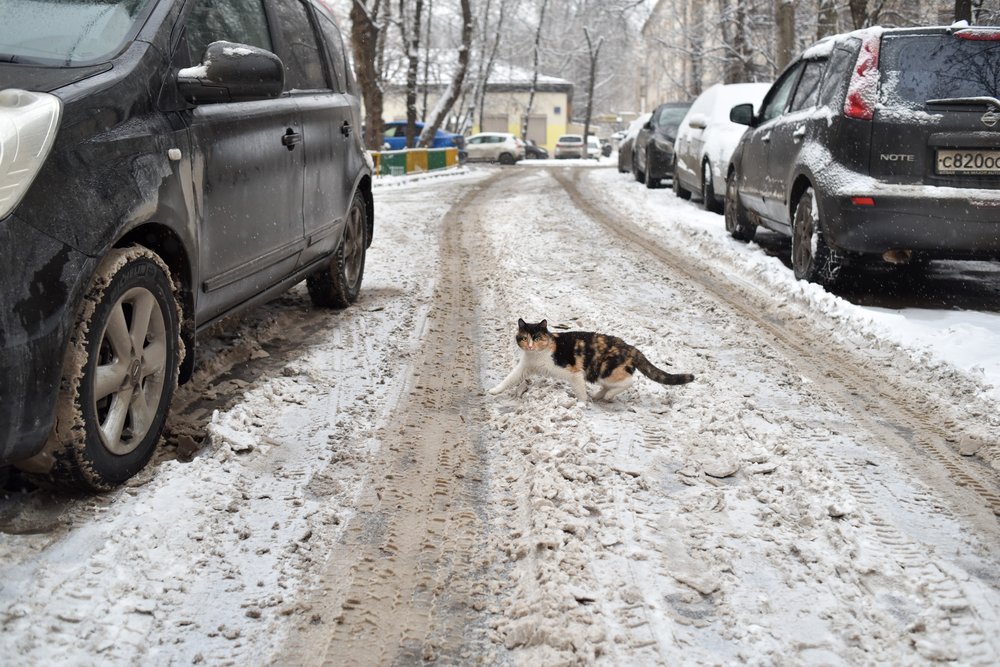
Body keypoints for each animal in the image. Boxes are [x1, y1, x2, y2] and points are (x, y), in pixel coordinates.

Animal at [486, 318, 692, 402]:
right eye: (524, 337)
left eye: (536, 338)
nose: (529, 345)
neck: (537, 355)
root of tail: (631, 347)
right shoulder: (524, 367)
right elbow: (509, 379)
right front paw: (494, 391)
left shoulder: (574, 372)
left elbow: (580, 391)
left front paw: (582, 404)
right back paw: (599, 395)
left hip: (605, 370)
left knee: (629, 381)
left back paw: (607, 396)